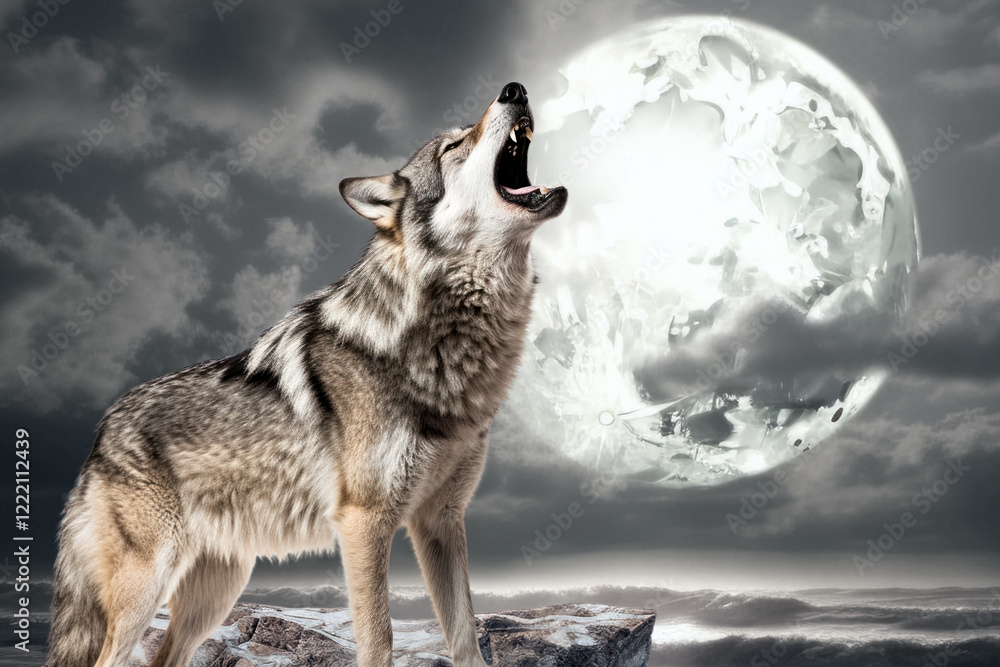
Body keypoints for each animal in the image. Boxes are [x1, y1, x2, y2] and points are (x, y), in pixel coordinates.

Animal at [47, 81, 567, 667]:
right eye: (454, 146)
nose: (514, 88)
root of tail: (101, 428)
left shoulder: (440, 521)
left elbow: (465, 636)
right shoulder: (364, 522)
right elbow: (379, 639)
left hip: (216, 593)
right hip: (149, 585)